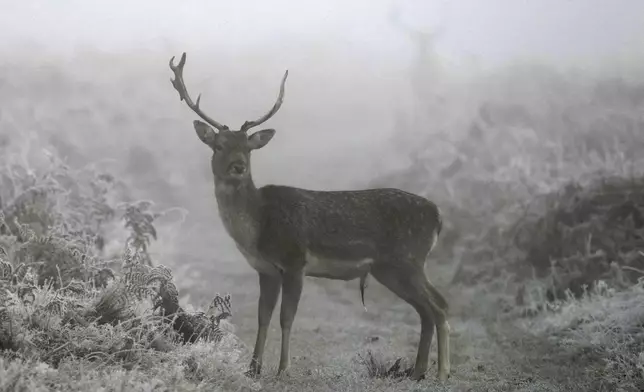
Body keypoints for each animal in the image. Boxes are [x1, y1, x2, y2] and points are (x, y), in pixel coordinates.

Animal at [169, 52, 450, 382]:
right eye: (219, 145)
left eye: (248, 149)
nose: (238, 166)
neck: (257, 226)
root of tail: (438, 215)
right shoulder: (265, 269)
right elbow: (263, 316)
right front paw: (253, 368)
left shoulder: (295, 261)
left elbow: (286, 318)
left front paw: (283, 369)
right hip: (391, 268)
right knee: (426, 310)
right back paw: (417, 371)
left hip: (407, 258)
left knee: (439, 306)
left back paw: (443, 372)